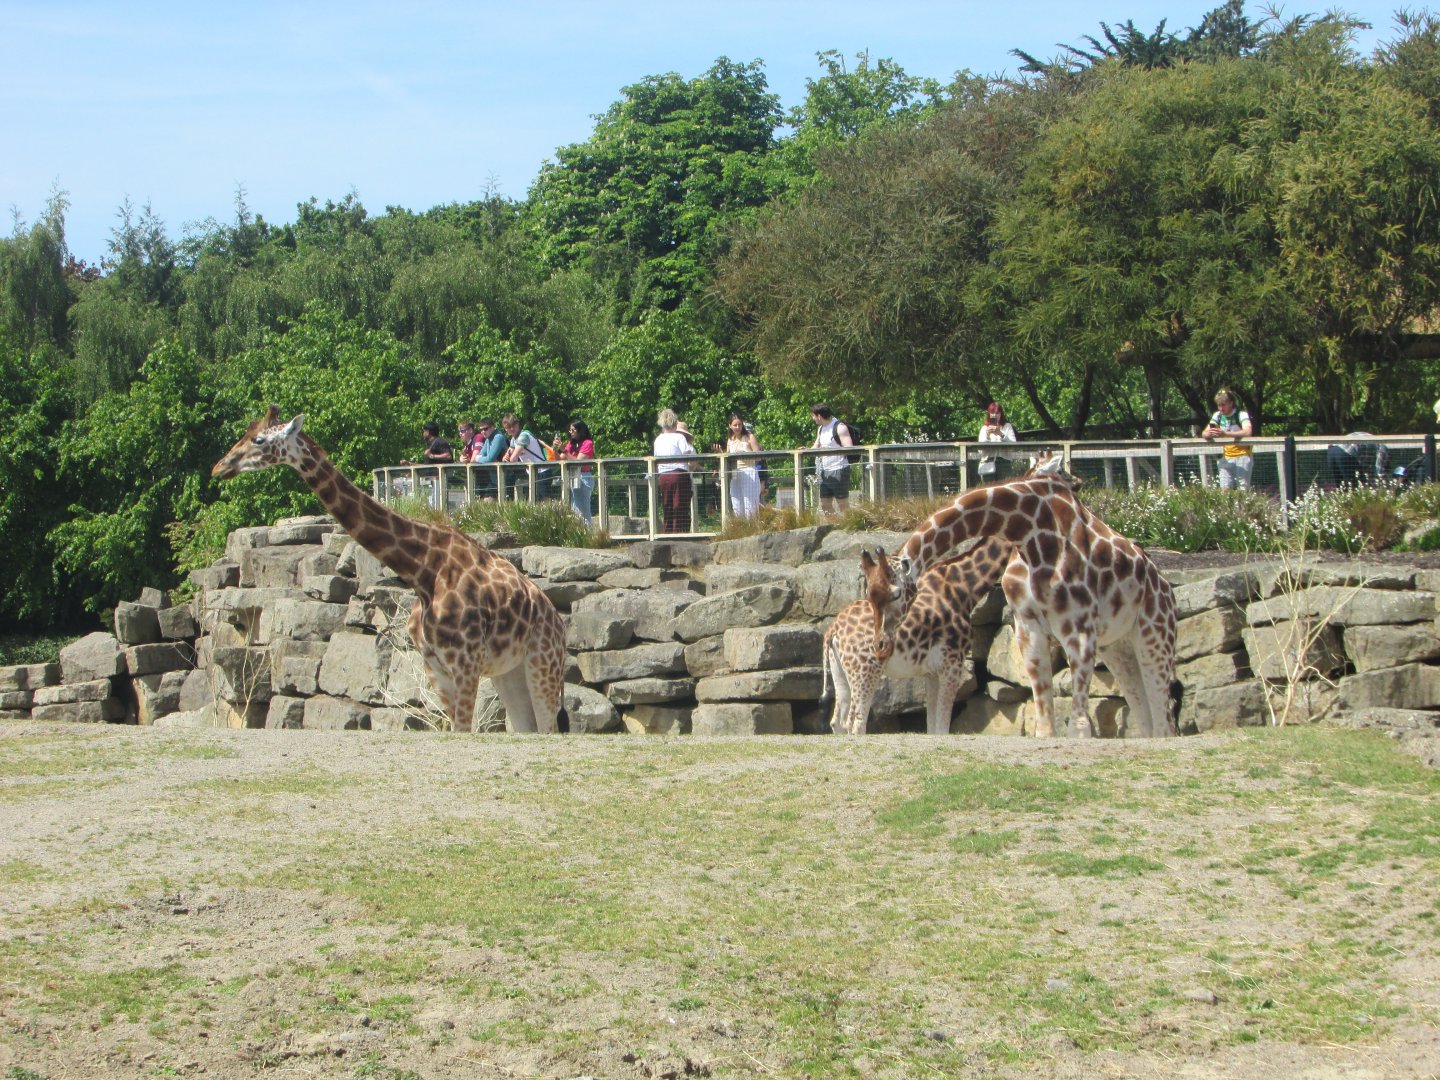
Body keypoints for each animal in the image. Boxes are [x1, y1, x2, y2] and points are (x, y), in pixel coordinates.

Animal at [211, 407, 567, 734]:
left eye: (259, 439)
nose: (220, 467)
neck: (424, 570)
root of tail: (557, 621)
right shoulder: (435, 666)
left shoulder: (466, 663)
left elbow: (464, 731)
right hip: (509, 671)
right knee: (527, 727)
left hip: (543, 663)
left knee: (548, 727)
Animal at [823, 538, 1014, 735]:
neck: (963, 588)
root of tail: (833, 629)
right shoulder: (953, 663)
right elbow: (943, 727)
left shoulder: (932, 672)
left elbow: (933, 726)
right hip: (865, 672)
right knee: (855, 723)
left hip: (840, 672)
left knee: (837, 721)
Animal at [896, 470, 1180, 739]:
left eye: (895, 593)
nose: (888, 640)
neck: (1027, 533)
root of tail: (1167, 588)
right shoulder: (1027, 629)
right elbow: (1043, 718)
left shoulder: (1080, 627)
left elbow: (1079, 726)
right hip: (1117, 648)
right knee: (1147, 719)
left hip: (1154, 636)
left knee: (1164, 721)